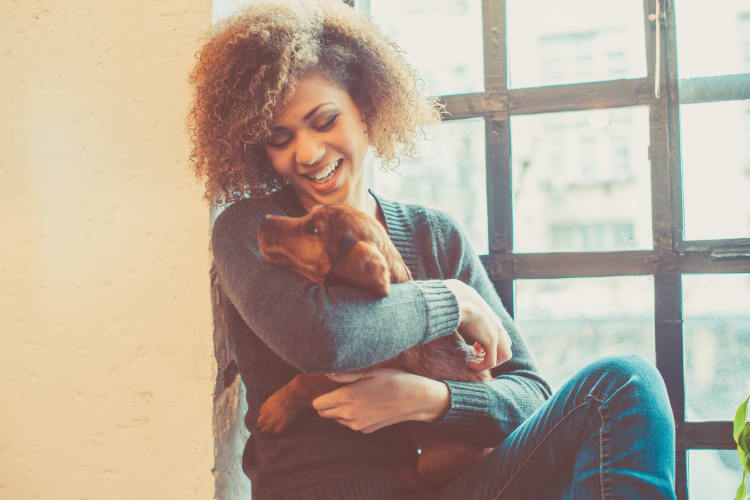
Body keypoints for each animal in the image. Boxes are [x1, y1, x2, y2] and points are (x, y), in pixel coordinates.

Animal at [256, 202, 496, 488]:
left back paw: (406, 474)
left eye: (313, 229)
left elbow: (304, 381)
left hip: (438, 460)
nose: (262, 220)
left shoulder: (345, 371)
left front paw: (274, 411)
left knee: (425, 478)